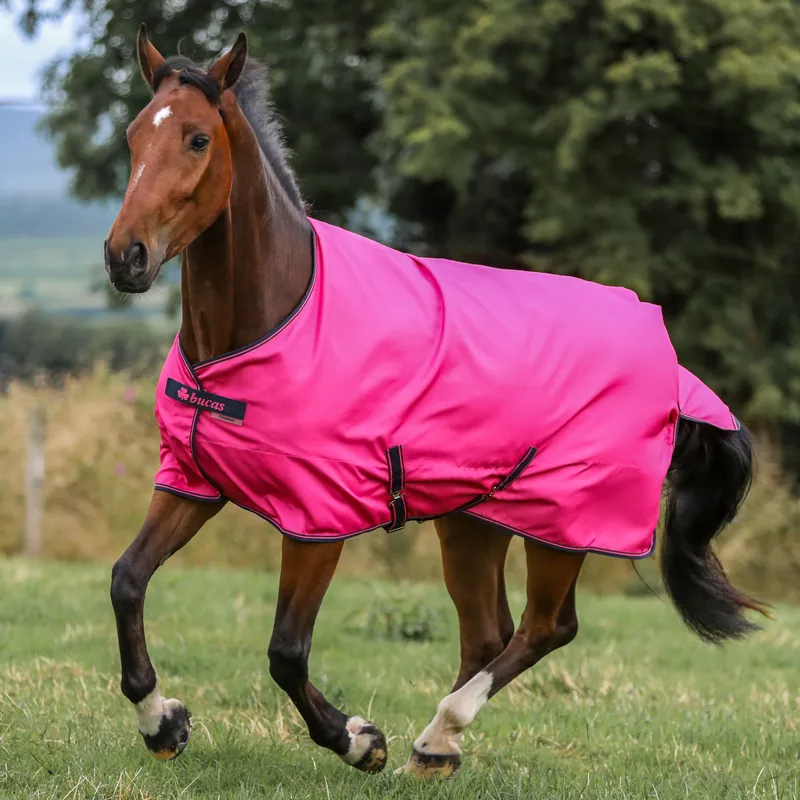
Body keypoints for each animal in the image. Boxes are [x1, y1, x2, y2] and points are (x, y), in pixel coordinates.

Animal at [105, 26, 767, 778]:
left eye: (196, 140)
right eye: (133, 135)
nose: (126, 257)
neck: (270, 322)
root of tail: (669, 359)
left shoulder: (319, 518)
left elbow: (286, 652)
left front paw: (360, 741)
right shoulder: (193, 483)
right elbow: (127, 582)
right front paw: (164, 723)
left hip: (564, 523)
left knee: (546, 627)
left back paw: (436, 734)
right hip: (473, 520)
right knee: (489, 632)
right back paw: (437, 751)